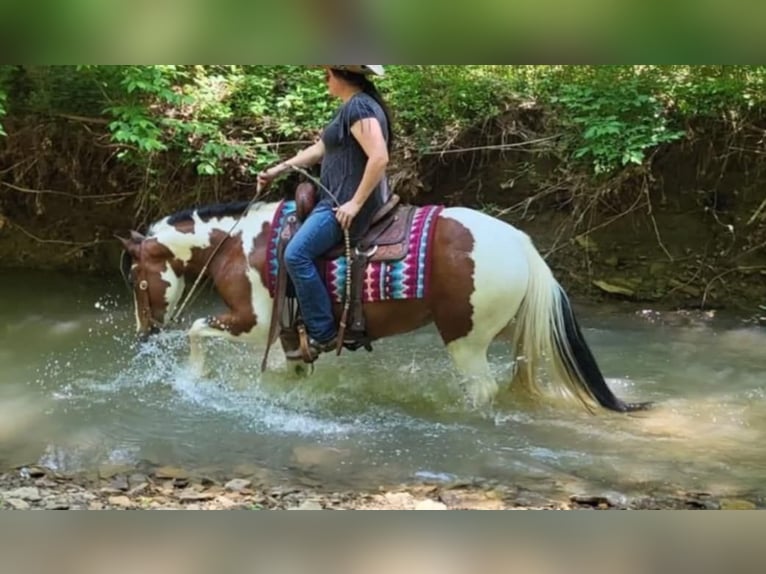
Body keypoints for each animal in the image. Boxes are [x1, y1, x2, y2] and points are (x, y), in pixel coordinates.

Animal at [117, 197, 650, 414]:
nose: (144, 334)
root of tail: (522, 245)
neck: (238, 243)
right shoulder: (289, 337)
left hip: (466, 339)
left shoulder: (254, 322)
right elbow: (294, 373)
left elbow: (196, 330)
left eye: (138, 282)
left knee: (480, 389)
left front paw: (194, 379)